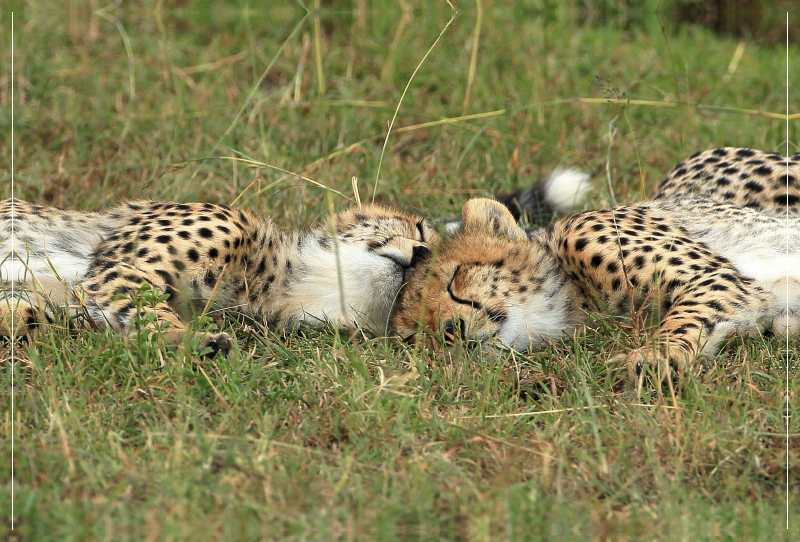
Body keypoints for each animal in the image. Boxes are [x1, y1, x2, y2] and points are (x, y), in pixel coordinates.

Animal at [390, 147, 796, 380]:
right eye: (415, 336)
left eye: (454, 279)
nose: (450, 330)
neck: (576, 295)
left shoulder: (716, 277)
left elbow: (686, 316)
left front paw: (656, 357)